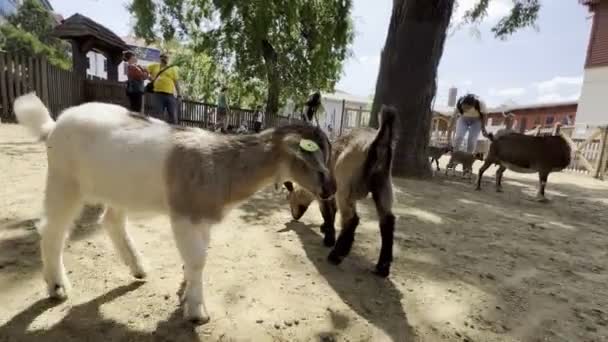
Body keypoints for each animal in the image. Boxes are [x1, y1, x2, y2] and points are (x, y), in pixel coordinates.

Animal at [14, 92, 334, 324]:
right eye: (311, 159)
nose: (331, 189)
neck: (221, 165)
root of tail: (52, 125)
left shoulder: (202, 219)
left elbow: (197, 258)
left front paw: (186, 293)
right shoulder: (185, 216)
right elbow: (197, 260)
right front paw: (196, 311)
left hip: (117, 189)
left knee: (111, 221)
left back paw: (138, 267)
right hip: (64, 181)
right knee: (53, 229)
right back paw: (57, 288)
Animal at [284, 105, 400, 278]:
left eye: (289, 198)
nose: (294, 216)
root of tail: (377, 142)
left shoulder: (325, 194)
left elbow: (327, 212)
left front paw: (328, 238)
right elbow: (331, 212)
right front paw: (325, 228)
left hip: (346, 186)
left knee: (352, 218)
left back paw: (336, 254)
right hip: (383, 185)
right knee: (387, 221)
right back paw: (382, 267)